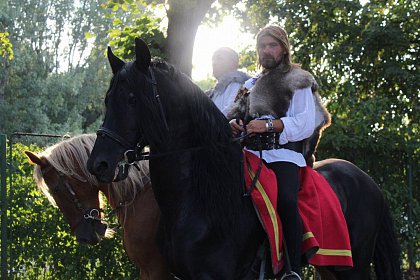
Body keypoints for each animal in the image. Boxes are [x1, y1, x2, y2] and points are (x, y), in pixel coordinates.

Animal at [87, 37, 402, 280]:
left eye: (132, 99)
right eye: (108, 99)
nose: (98, 164)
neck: (205, 198)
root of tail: (366, 180)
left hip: (354, 266)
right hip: (330, 267)